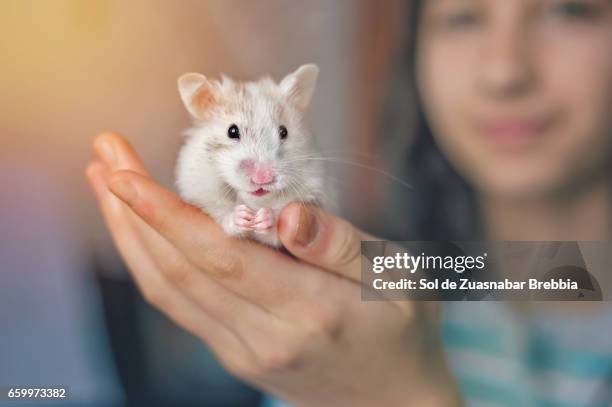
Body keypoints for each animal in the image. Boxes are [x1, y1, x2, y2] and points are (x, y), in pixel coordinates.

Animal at [173, 65, 326, 247]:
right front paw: (243, 217)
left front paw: (263, 218)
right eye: (232, 131)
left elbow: (275, 229)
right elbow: (224, 215)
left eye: (284, 131)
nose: (263, 178)